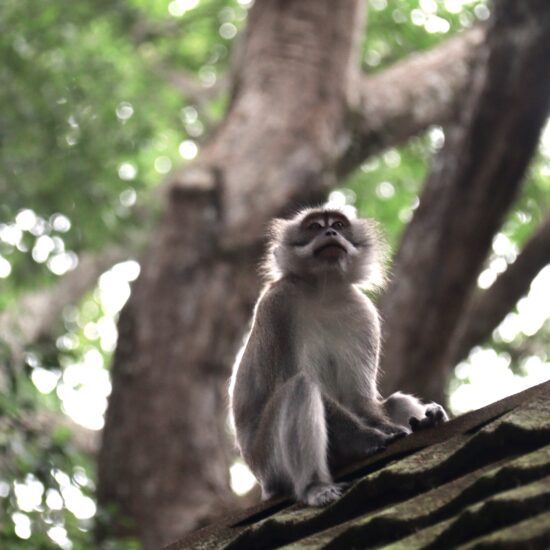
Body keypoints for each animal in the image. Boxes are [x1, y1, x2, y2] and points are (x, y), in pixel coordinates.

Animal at [229, 206, 448, 508]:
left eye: (339, 225)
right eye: (314, 227)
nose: (330, 232)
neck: (324, 290)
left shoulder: (362, 312)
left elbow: (358, 398)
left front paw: (411, 423)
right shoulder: (278, 305)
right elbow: (289, 379)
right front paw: (372, 438)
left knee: (394, 401)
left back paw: (428, 419)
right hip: (271, 462)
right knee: (299, 387)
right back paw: (315, 487)